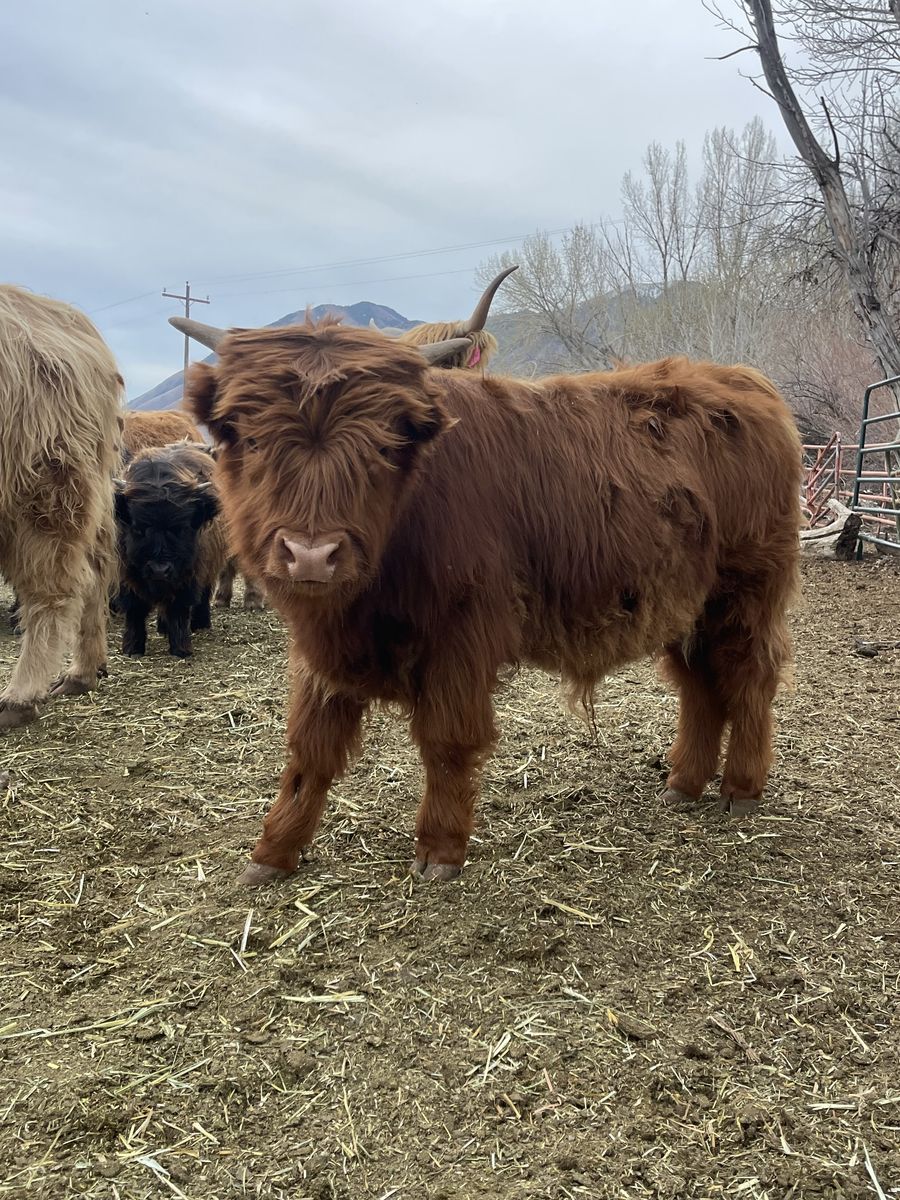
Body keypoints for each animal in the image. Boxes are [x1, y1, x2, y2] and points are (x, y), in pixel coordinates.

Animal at [114, 442, 227, 657]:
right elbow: (134, 610)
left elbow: (178, 610)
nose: (159, 570)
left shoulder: (189, 574)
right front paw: (132, 648)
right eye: (138, 528)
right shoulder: (127, 575)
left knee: (203, 595)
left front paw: (181, 648)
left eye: (181, 528)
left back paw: (200, 623)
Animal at [173, 313, 802, 886]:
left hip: (746, 593)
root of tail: (746, 383)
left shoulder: (462, 635)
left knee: (749, 675)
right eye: (252, 438)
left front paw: (440, 851)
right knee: (701, 685)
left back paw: (741, 788)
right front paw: (273, 852)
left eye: (382, 446)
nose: (310, 554)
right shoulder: (323, 653)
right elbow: (309, 749)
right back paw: (683, 784)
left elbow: (447, 741)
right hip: (684, 604)